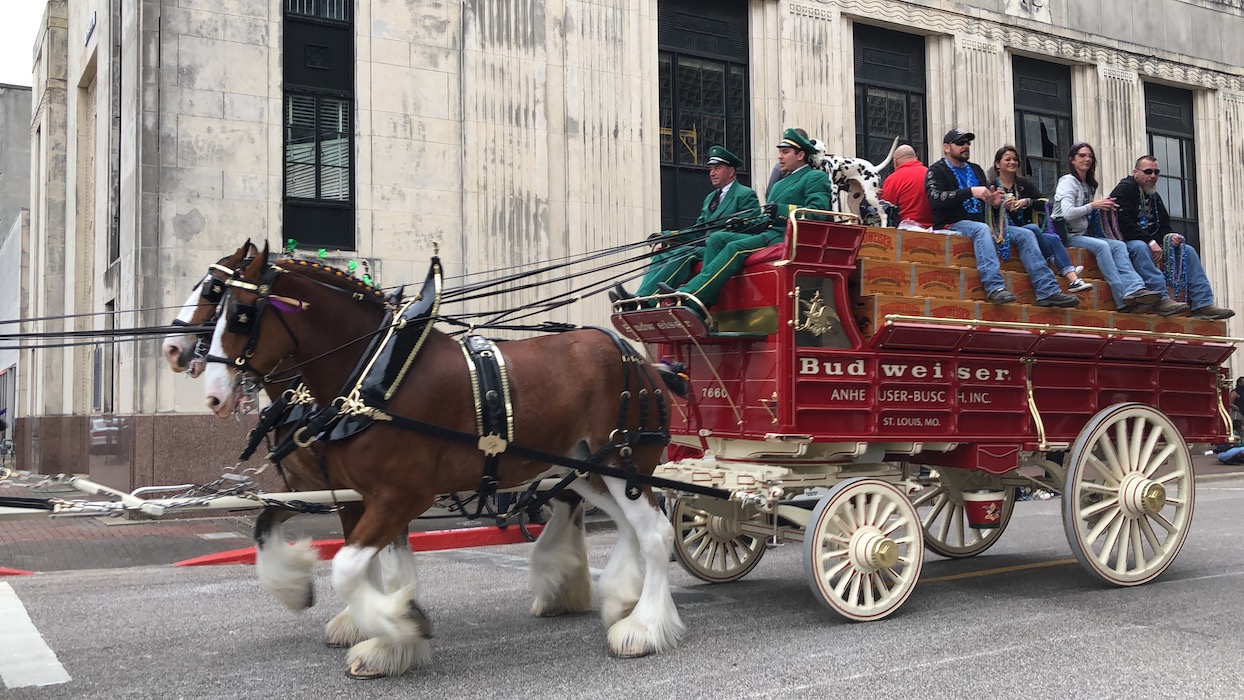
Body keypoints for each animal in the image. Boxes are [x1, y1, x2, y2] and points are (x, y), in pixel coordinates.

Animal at [200, 244, 686, 681]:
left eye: (240, 312)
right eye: (216, 301)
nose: (214, 395)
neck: (375, 376)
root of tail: (643, 363)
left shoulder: (402, 495)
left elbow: (348, 567)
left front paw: (399, 624)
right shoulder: (368, 495)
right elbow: (377, 565)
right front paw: (388, 640)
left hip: (625, 459)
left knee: (656, 533)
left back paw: (644, 627)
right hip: (590, 468)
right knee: (629, 526)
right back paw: (621, 598)